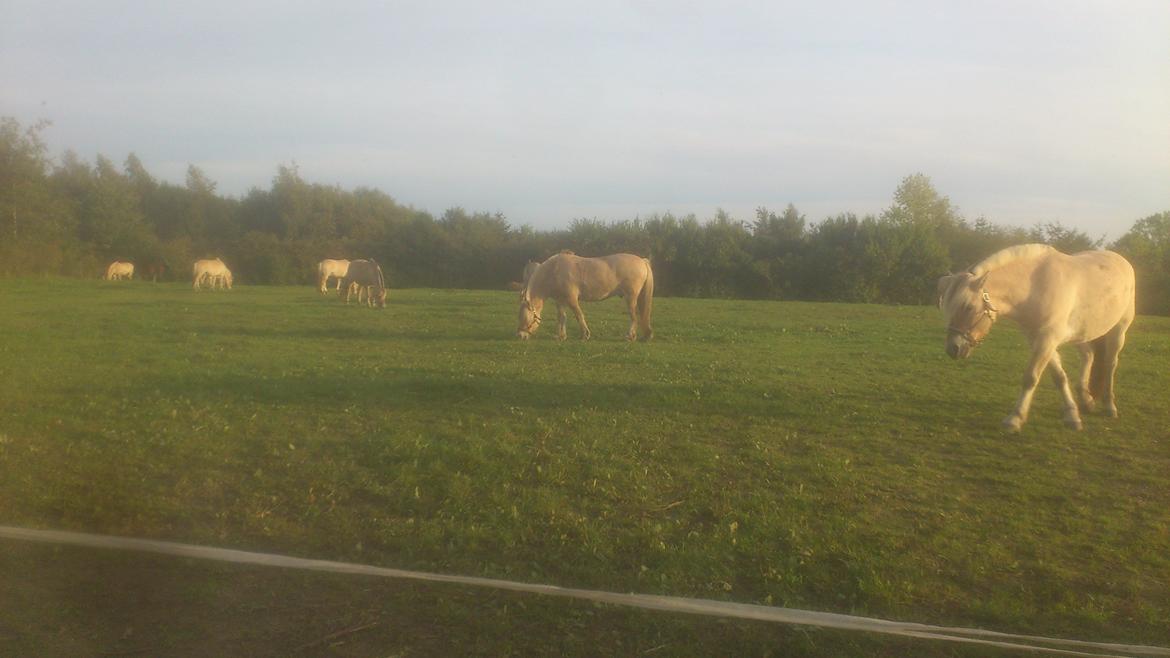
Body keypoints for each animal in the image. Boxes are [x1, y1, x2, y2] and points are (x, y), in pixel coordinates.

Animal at [517, 250, 655, 339]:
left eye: (524, 317)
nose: (520, 336)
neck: (554, 271)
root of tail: (642, 261)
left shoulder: (572, 299)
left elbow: (579, 315)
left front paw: (585, 335)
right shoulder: (560, 301)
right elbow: (561, 317)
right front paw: (561, 336)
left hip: (630, 298)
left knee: (634, 317)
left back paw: (630, 336)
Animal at [940, 242, 1132, 430]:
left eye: (968, 307)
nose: (953, 348)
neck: (1036, 287)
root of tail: (1122, 261)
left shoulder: (1047, 339)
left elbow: (1030, 377)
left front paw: (1015, 418)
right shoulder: (1039, 340)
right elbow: (1059, 377)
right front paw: (1071, 415)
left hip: (1118, 331)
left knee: (1110, 364)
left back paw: (1109, 406)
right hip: (1082, 333)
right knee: (1088, 356)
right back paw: (1086, 400)